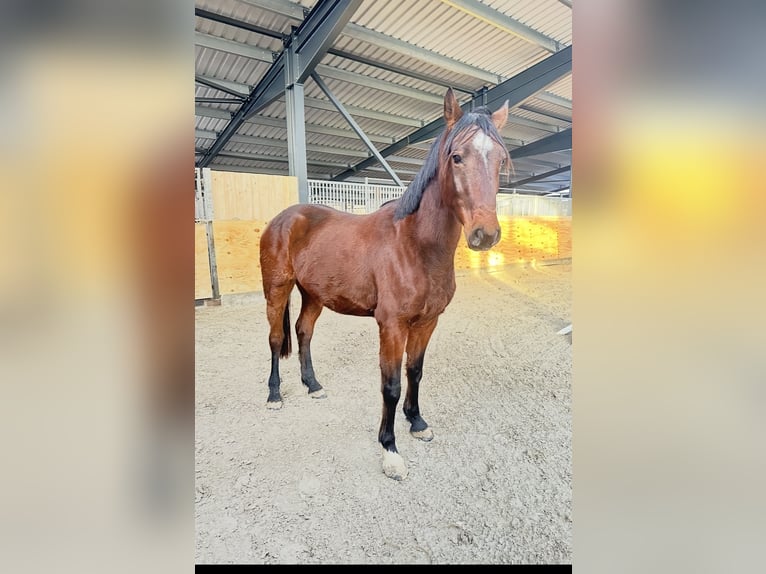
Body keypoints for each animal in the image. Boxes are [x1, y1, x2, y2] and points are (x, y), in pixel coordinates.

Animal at [259, 88, 510, 480]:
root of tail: (284, 218)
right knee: (274, 339)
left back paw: (313, 386)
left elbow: (415, 372)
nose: (485, 234)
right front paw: (390, 449)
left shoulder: (427, 322)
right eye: (457, 157)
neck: (415, 245)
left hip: (314, 294)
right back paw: (274, 396)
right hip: (277, 289)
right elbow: (390, 385)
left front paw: (417, 422)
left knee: (303, 332)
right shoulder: (392, 326)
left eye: (500, 159)